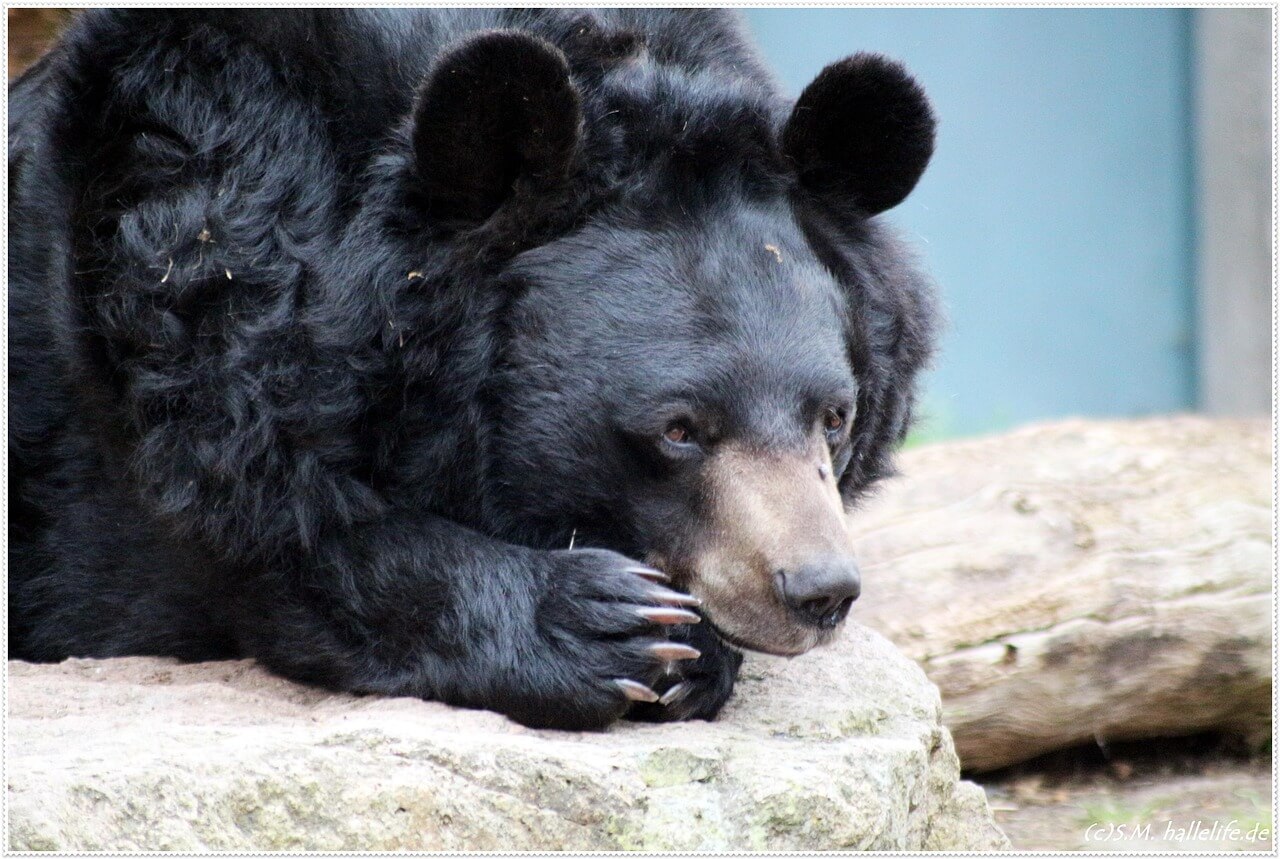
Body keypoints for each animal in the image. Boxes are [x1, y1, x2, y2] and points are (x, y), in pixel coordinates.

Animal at [9, 9, 937, 730]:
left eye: (835, 415)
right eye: (678, 429)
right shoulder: (189, 299)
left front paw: (691, 651)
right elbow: (278, 536)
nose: (818, 591)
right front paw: (610, 627)